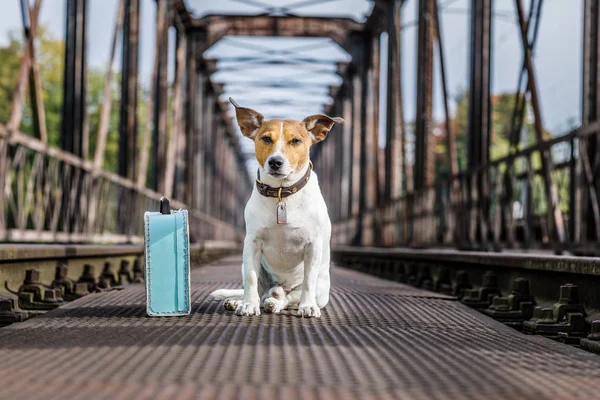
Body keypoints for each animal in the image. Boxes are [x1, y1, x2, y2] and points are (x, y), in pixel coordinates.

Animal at [210, 98, 342, 318]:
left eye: (295, 141)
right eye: (266, 138)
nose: (275, 162)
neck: (282, 194)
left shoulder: (313, 245)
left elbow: (308, 281)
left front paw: (308, 306)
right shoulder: (252, 243)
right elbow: (251, 279)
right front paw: (247, 305)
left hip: (322, 289)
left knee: (288, 298)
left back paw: (277, 301)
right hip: (248, 266)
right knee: (261, 291)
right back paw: (242, 301)